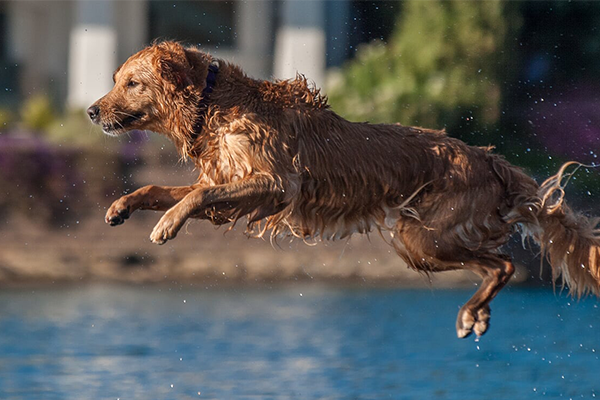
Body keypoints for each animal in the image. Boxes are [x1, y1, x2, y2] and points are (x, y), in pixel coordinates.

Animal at [89, 41, 600, 338]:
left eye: (132, 83)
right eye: (115, 80)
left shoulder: (274, 184)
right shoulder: (224, 182)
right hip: (419, 243)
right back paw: (477, 314)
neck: (215, 106)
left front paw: (165, 226)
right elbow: (160, 186)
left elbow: (194, 198)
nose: (92, 111)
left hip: (424, 237)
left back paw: (474, 311)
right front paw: (121, 207)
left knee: (505, 263)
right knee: (495, 264)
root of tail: (491, 158)